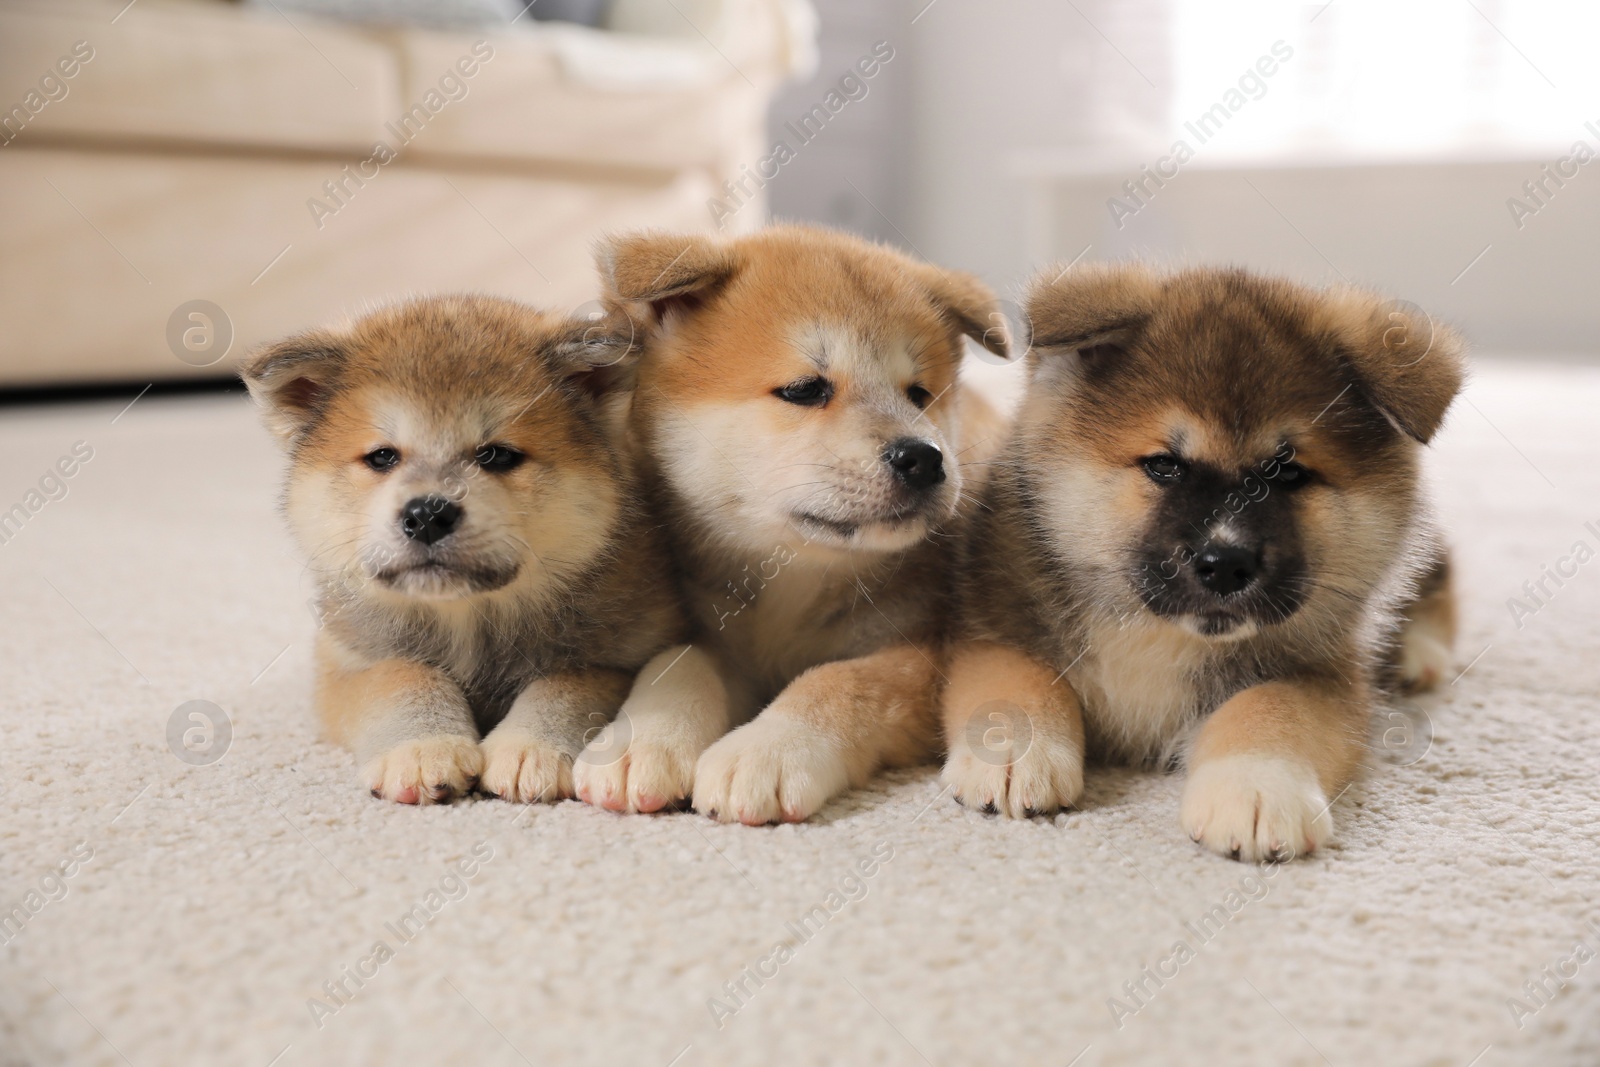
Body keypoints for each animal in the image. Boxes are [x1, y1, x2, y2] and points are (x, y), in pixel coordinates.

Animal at [241, 295, 681, 806]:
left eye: (496, 455)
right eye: (382, 457)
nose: (427, 514)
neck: (469, 622)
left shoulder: (625, 656)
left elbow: (568, 683)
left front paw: (529, 747)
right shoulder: (347, 662)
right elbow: (401, 675)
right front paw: (422, 747)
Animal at [569, 227, 1004, 825]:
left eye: (920, 395)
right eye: (805, 390)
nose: (924, 457)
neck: (791, 586)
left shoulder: (918, 653)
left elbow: (835, 683)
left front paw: (766, 749)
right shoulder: (716, 634)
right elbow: (677, 664)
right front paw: (642, 739)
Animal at [947, 267, 1465, 857]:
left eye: (1289, 473)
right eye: (1165, 465)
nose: (1225, 564)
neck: (1158, 635)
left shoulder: (1322, 673)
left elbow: (1269, 708)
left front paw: (1256, 786)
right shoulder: (992, 626)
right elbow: (1019, 678)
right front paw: (1014, 750)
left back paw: (1417, 656)